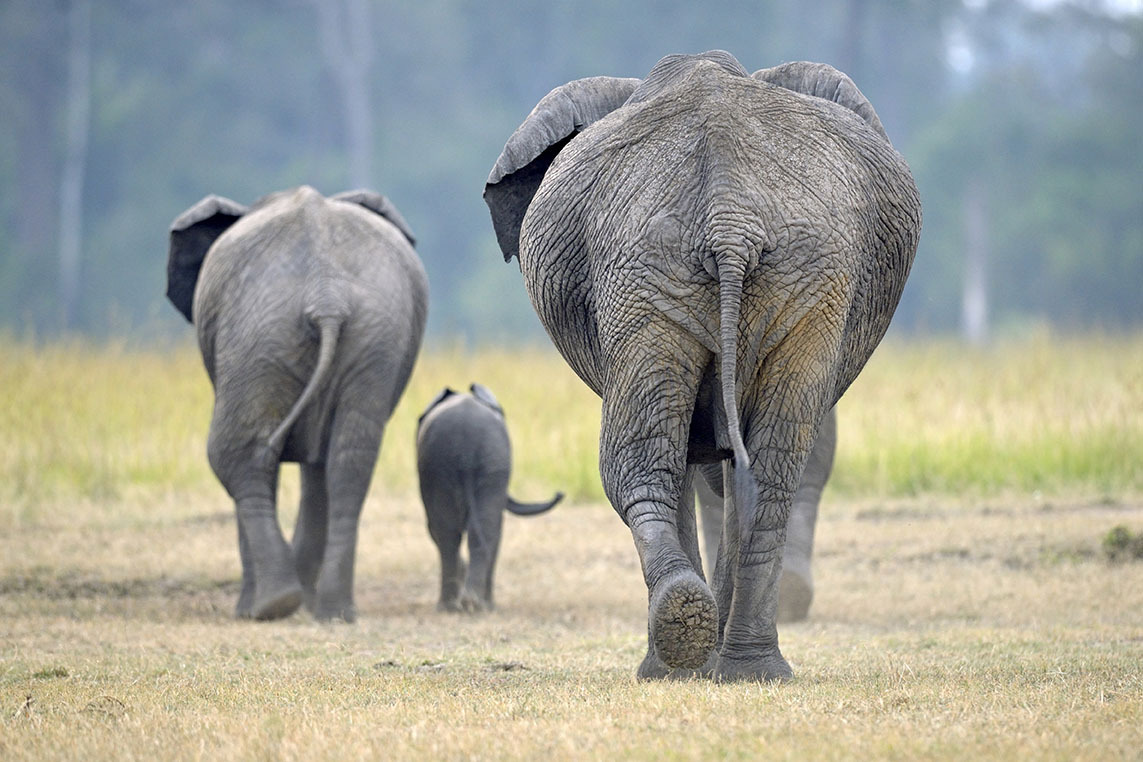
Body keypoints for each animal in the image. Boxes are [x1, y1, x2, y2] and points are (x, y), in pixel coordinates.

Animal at [163, 186, 427, 626]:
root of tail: (326, 294)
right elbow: (319, 469)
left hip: (255, 336)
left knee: (239, 454)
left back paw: (272, 605)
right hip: (375, 337)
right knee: (348, 461)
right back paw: (334, 611)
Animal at [418, 383, 564, 612]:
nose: (559, 493)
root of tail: (465, 448)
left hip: (477, 462)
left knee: (453, 533)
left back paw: (463, 605)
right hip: (476, 463)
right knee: (465, 532)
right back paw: (469, 604)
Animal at [482, 53, 918, 685]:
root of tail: (728, 218)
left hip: (665, 273)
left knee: (643, 463)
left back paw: (682, 655)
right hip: (772, 278)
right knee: (766, 469)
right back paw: (743, 665)